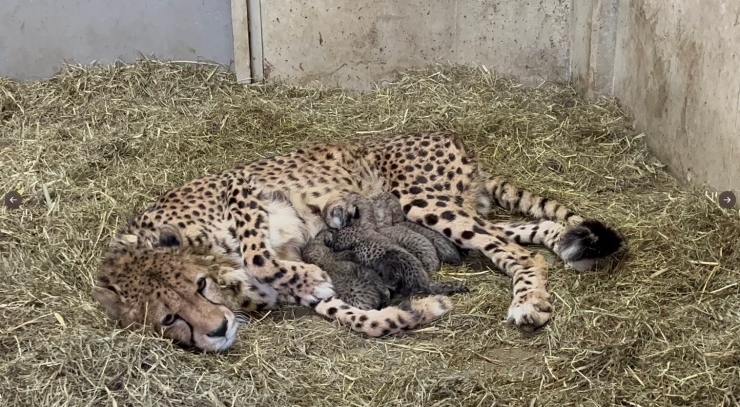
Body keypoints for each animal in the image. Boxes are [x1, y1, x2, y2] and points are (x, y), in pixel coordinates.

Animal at [91, 132, 624, 352]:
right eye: (168, 320)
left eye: (198, 286)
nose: (219, 330)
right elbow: (345, 313)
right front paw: (405, 314)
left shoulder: (240, 187)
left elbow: (260, 254)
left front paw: (307, 275)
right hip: (450, 212)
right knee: (531, 234)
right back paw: (564, 246)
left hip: (423, 201)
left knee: (519, 251)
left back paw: (529, 302)